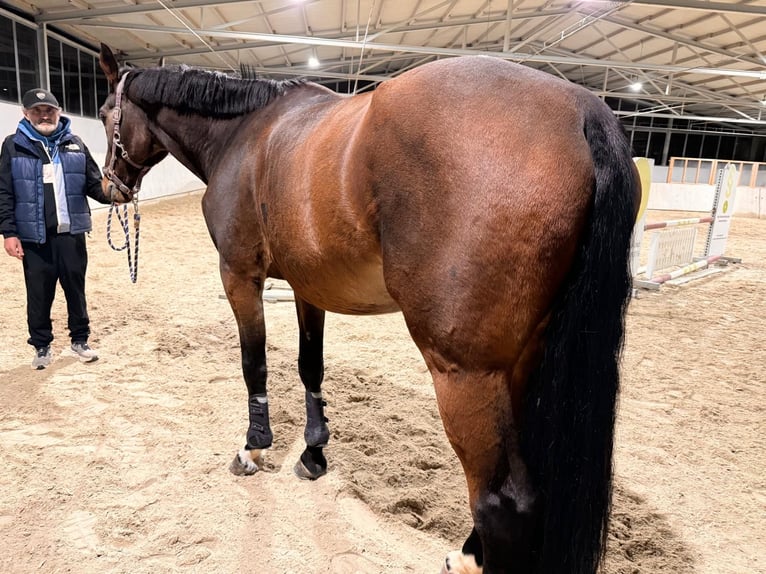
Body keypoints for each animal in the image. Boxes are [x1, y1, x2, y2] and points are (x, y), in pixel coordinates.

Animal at [99, 42, 640, 572]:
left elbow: (255, 364)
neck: (244, 134)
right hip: (522, 364)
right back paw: (466, 554)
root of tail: (584, 110)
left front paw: (253, 448)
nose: (108, 187)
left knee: (502, 502)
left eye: (105, 113)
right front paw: (314, 453)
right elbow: (310, 366)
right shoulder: (308, 287)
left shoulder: (238, 274)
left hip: (467, 373)